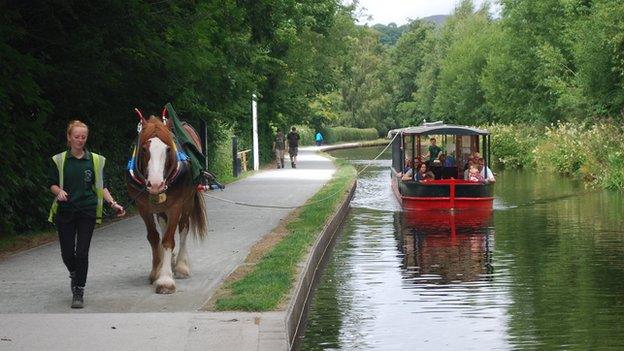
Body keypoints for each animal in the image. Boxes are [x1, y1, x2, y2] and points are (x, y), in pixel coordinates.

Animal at [127, 107, 207, 294]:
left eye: (168, 149)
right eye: (144, 148)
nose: (156, 184)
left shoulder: (176, 205)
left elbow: (169, 239)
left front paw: (165, 280)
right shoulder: (143, 207)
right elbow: (154, 237)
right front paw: (157, 271)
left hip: (187, 200)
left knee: (183, 228)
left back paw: (181, 266)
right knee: (164, 227)